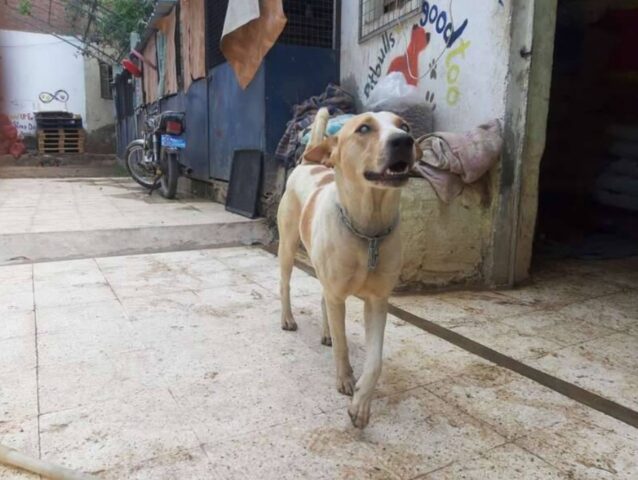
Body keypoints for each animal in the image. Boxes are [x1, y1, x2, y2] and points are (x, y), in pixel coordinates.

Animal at [278, 107, 420, 426]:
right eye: (364, 128)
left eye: (405, 126)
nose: (404, 141)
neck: (368, 230)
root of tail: (308, 163)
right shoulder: (337, 291)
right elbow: (344, 345)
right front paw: (344, 380)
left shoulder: (378, 301)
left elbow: (375, 361)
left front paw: (361, 405)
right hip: (288, 247)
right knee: (286, 285)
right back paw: (288, 319)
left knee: (323, 298)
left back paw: (327, 332)